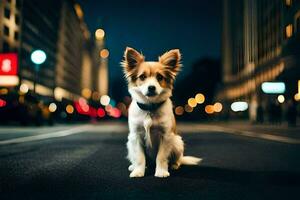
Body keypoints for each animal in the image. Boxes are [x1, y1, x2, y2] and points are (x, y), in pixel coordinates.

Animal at [120, 47, 202, 178]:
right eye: (142, 77)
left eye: (160, 77)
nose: (151, 87)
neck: (149, 107)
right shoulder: (135, 136)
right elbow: (140, 157)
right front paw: (138, 171)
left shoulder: (166, 136)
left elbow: (161, 157)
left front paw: (161, 172)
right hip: (129, 143)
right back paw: (134, 166)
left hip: (177, 142)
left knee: (178, 159)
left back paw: (174, 165)